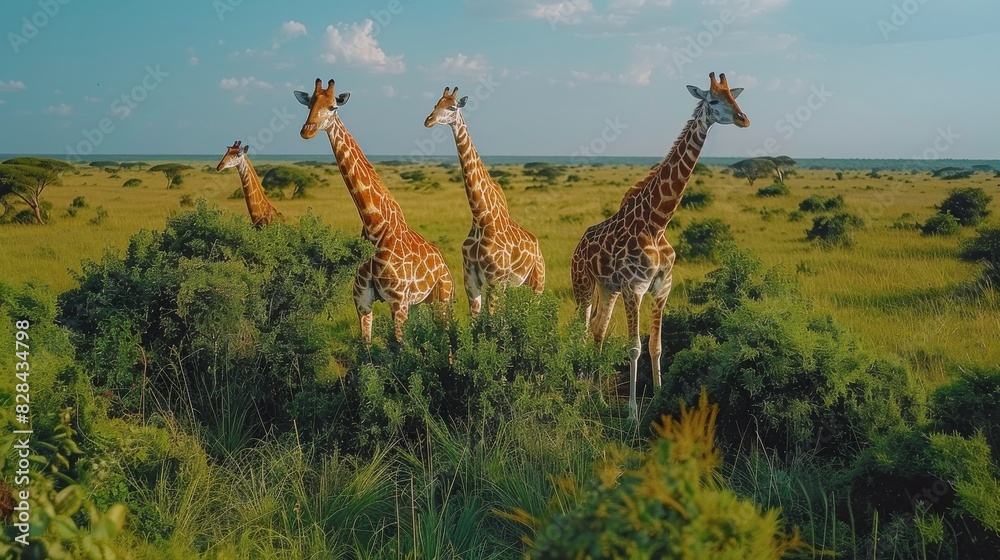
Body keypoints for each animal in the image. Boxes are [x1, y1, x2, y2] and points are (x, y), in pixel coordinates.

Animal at [295, 78, 454, 342]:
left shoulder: (397, 302)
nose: (307, 131)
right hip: (420, 303)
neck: (374, 226)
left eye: (333, 107)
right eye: (309, 104)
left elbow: (398, 347)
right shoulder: (362, 302)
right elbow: (366, 346)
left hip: (442, 298)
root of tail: (445, 265)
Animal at [423, 86, 545, 317]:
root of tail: (538, 247)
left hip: (537, 283)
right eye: (435, 104)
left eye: (452, 107)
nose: (428, 120)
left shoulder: (495, 280)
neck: (481, 217)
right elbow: (476, 319)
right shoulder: (470, 281)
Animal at [570, 72, 749, 420]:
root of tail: (579, 244)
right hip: (583, 284)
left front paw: (660, 400)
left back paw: (598, 398)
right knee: (582, 330)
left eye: (734, 98)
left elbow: (656, 346)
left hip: (608, 288)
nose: (743, 119)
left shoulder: (662, 287)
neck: (657, 222)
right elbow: (634, 347)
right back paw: (582, 392)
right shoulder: (634, 288)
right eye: (713, 99)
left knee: (598, 329)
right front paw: (631, 413)